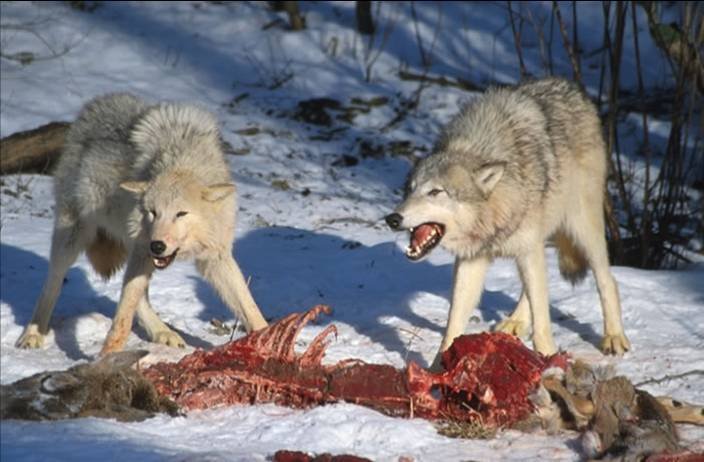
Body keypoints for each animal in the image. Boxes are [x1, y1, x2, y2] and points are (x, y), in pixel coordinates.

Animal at [16, 93, 268, 355]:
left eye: (181, 214)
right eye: (153, 212)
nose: (157, 246)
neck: (181, 159)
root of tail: (95, 105)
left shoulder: (215, 257)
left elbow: (249, 307)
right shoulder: (142, 250)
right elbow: (122, 317)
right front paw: (107, 357)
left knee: (138, 295)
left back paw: (162, 332)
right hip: (73, 239)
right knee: (52, 284)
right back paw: (32, 334)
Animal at [385, 78, 630, 365]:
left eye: (435, 192)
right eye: (410, 190)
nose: (392, 218)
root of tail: (572, 88)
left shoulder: (527, 249)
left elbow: (543, 318)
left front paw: (549, 359)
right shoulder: (472, 260)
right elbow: (453, 322)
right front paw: (439, 367)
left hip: (582, 229)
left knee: (607, 280)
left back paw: (614, 336)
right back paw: (515, 321)